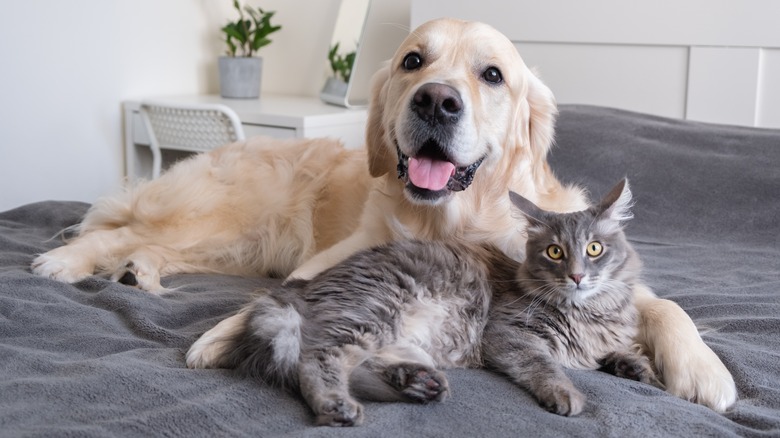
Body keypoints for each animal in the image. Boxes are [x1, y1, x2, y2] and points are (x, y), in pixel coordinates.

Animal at [186, 177, 660, 424]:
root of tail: (296, 288)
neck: (589, 312)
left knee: (364, 366)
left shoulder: (600, 339)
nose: (578, 275)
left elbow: (619, 352)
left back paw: (417, 384)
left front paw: (640, 369)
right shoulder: (509, 335)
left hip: (397, 337)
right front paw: (566, 394)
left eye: (595, 249)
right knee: (315, 360)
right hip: (373, 312)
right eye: (555, 253)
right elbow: (546, 366)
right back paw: (339, 407)